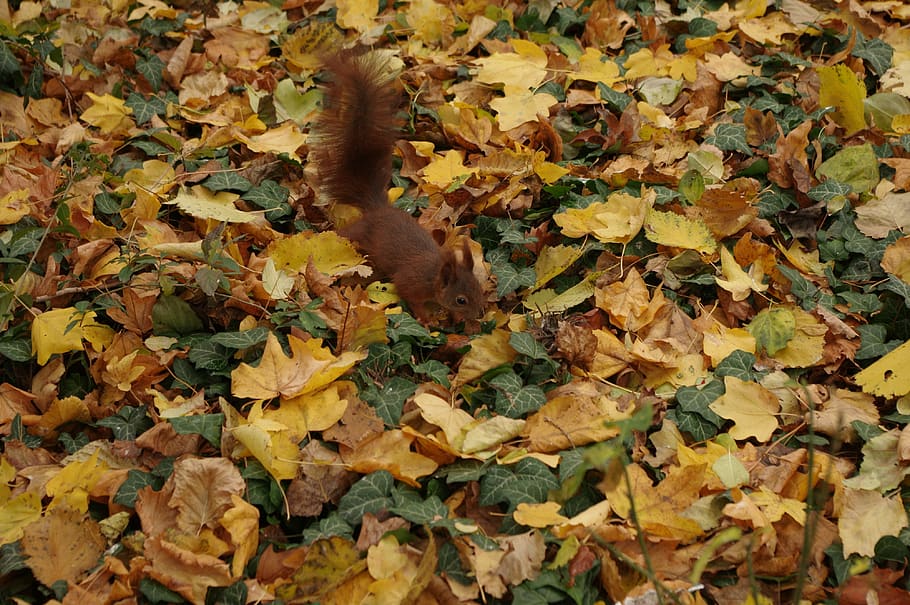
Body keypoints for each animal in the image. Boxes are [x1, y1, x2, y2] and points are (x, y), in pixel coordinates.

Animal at [312, 51, 484, 324]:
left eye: (479, 287)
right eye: (461, 300)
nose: (481, 314)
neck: (434, 274)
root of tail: (378, 208)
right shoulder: (410, 282)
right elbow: (410, 297)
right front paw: (426, 319)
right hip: (360, 232)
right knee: (347, 233)